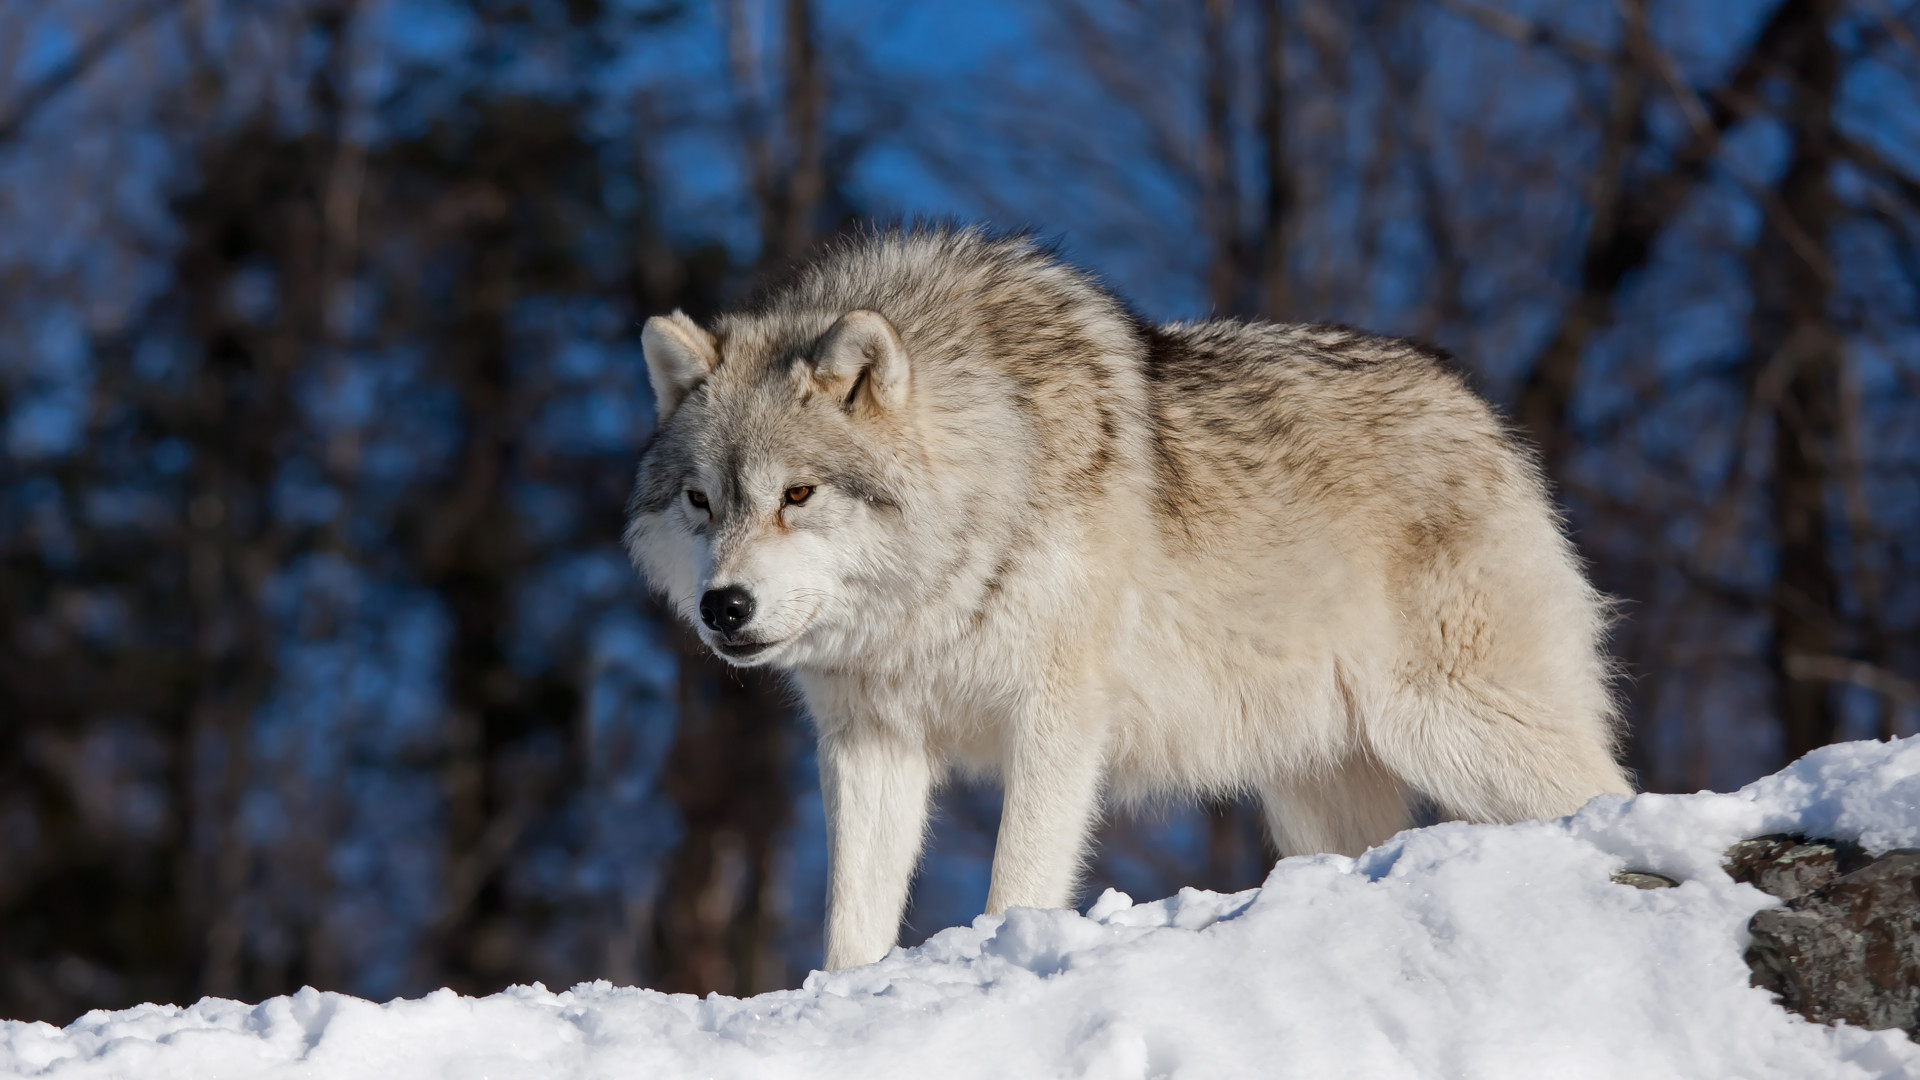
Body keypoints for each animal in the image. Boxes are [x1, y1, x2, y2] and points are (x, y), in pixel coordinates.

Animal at [625, 224, 1635, 968]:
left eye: (798, 495)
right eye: (701, 501)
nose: (724, 608)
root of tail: (1483, 415)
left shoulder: (1056, 717)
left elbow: (1020, 879)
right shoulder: (871, 740)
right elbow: (853, 922)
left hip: (1459, 731)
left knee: (1606, 790)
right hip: (1317, 788)